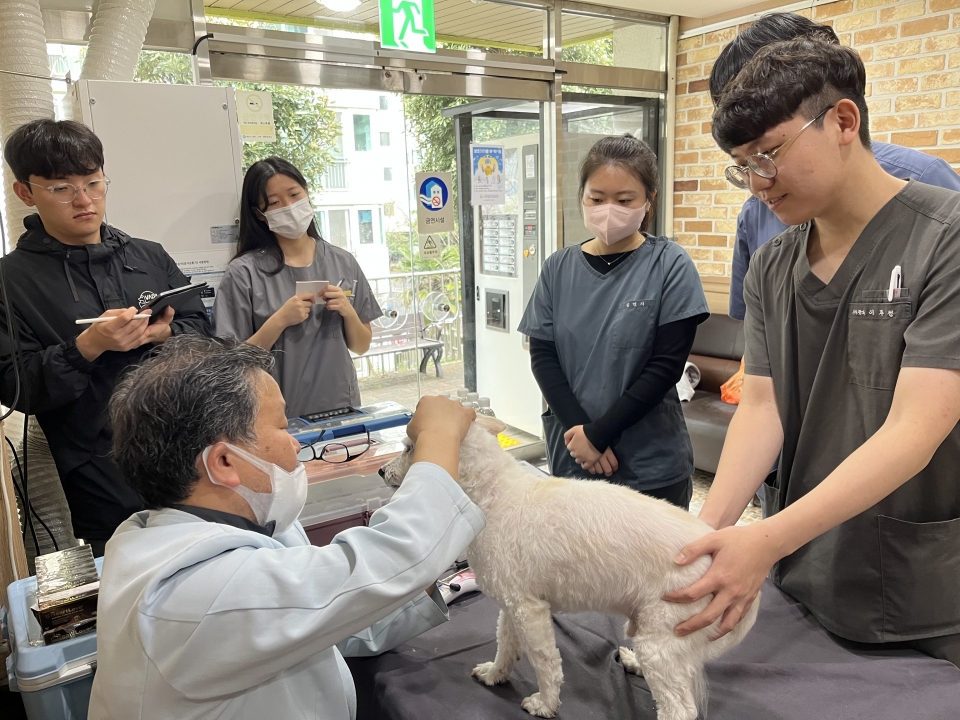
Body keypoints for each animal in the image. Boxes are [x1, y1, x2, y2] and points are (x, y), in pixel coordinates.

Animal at [378, 416, 760, 720]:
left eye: (410, 447)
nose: (381, 471)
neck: (491, 494)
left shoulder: (529, 611)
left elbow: (545, 662)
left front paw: (545, 704)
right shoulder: (512, 604)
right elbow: (505, 644)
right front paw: (495, 674)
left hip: (665, 632)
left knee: (679, 709)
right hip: (658, 636)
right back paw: (633, 663)